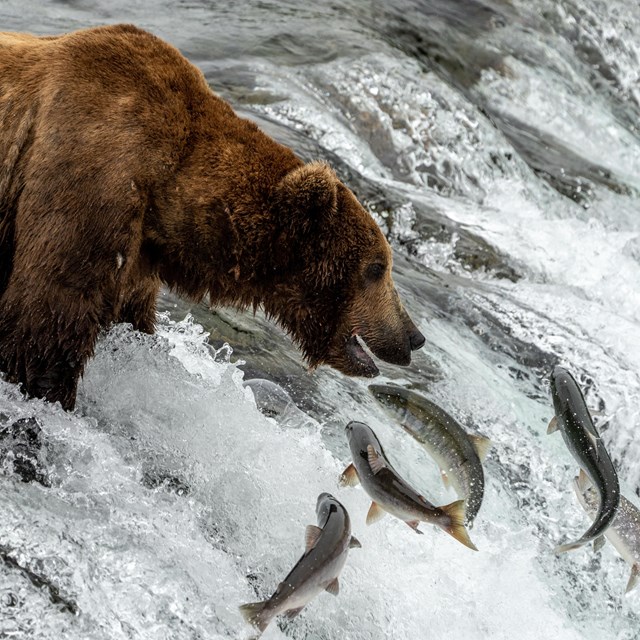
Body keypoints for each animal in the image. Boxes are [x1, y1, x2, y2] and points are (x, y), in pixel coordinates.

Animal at [0, 24, 425, 411]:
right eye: (376, 268)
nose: (413, 336)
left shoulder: (137, 252)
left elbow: (129, 315)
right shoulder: (93, 174)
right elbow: (48, 316)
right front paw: (48, 392)